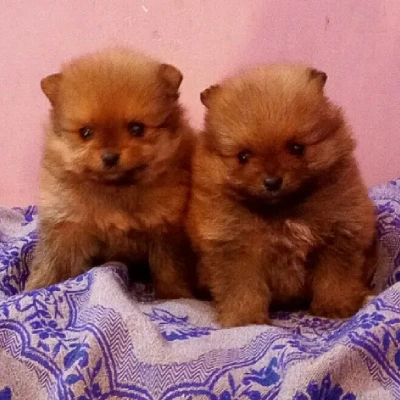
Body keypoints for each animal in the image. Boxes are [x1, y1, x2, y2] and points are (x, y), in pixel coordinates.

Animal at [24, 48, 194, 298]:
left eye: (137, 129)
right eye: (86, 133)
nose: (110, 157)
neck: (116, 189)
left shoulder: (166, 228)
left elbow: (169, 267)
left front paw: (175, 294)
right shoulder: (67, 227)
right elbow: (53, 263)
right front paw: (36, 288)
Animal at [186, 65, 376, 328]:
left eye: (297, 148)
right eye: (243, 156)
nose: (272, 182)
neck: (281, 212)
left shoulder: (339, 235)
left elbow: (335, 279)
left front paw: (335, 307)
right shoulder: (235, 250)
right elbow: (242, 289)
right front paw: (244, 319)